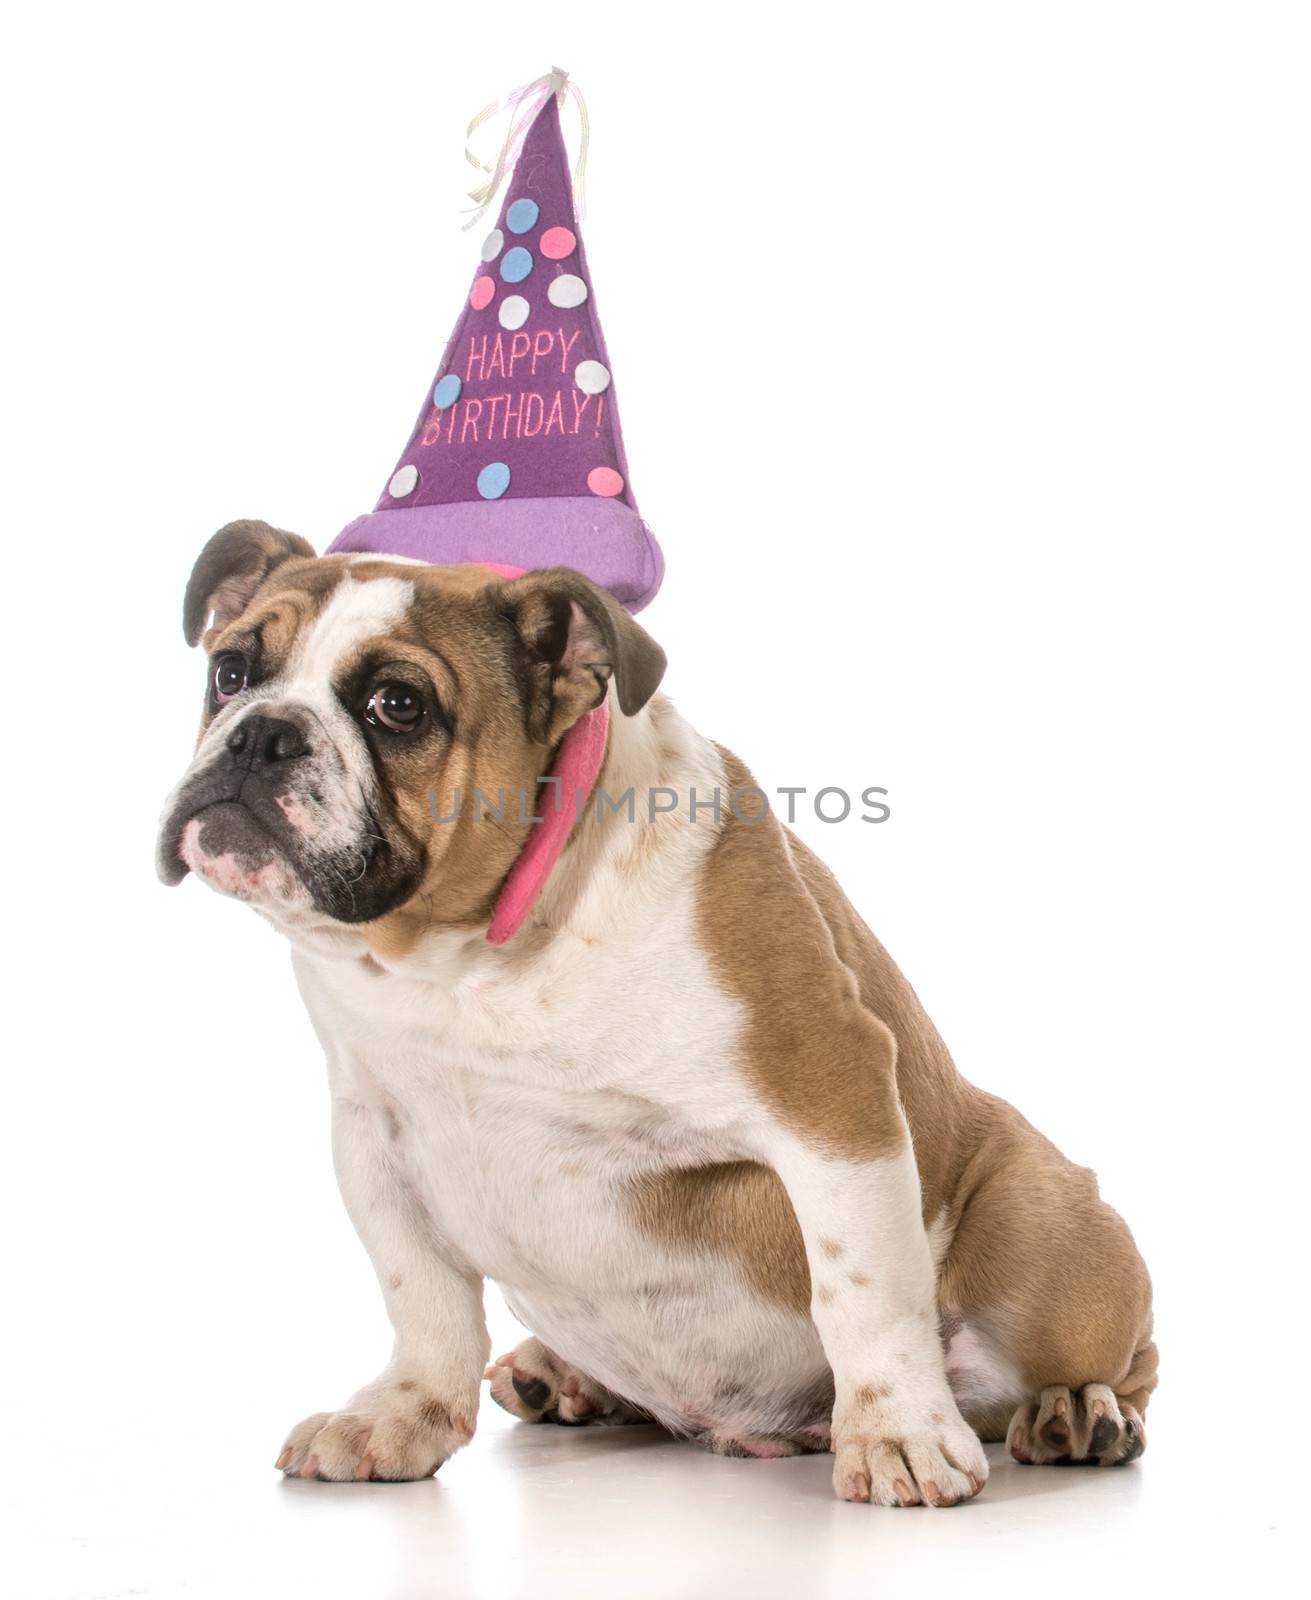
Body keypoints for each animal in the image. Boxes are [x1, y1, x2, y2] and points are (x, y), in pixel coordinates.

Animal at [159, 521, 1152, 1497]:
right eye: (230, 673)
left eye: (397, 704)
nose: (260, 735)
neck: (470, 960)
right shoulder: (375, 1134)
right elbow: (423, 1297)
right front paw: (401, 1417)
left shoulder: (830, 1090)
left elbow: (862, 1289)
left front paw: (897, 1432)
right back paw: (562, 1376)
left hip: (1045, 1239)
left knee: (1106, 1356)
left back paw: (1075, 1414)